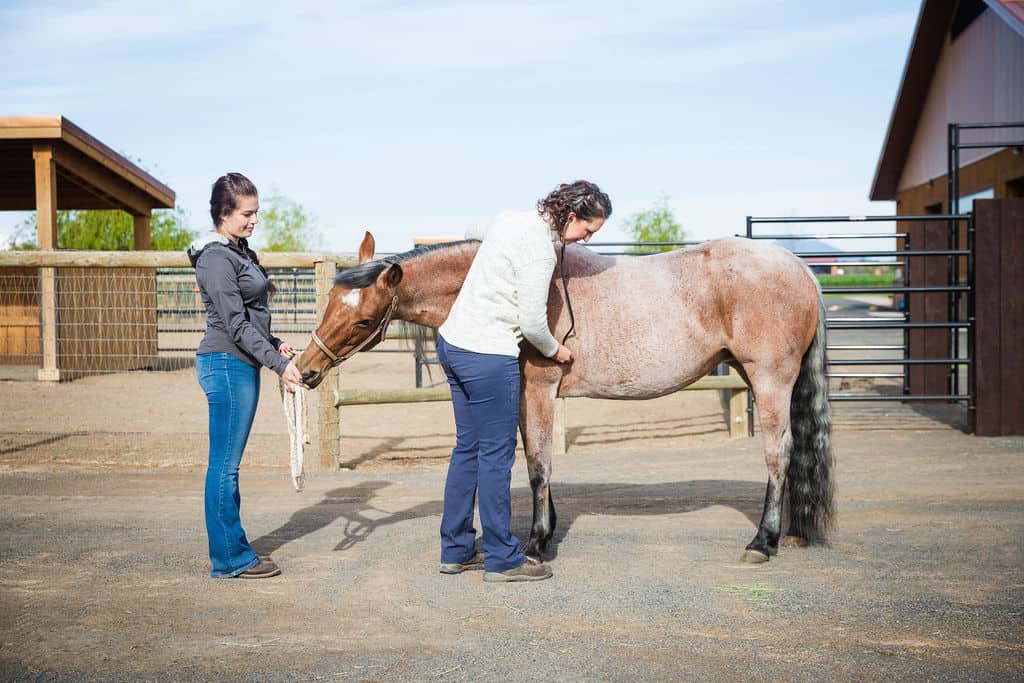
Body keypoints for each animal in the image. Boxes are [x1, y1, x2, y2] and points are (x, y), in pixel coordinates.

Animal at [294, 232, 831, 565]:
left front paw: (535, 544)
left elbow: (538, 463)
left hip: (770, 381)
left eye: (363, 319)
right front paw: (543, 533)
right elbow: (534, 460)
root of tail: (800, 268)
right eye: (328, 302)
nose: (306, 369)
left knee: (778, 454)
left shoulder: (539, 388)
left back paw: (762, 541)